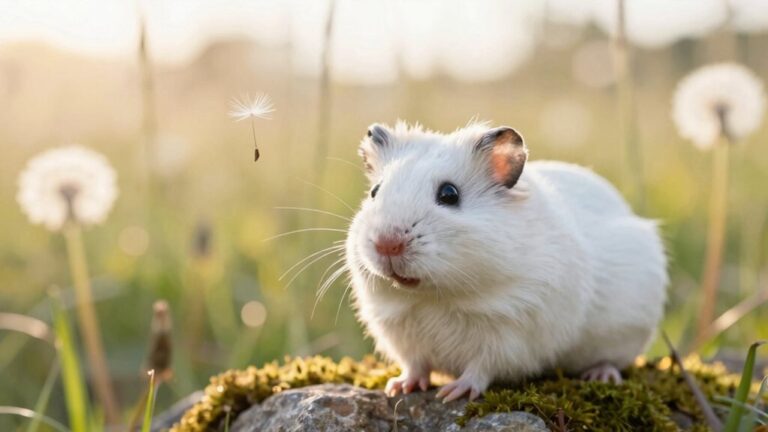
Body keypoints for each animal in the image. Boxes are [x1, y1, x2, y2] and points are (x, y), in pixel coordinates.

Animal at [344, 121, 668, 402]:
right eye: (375, 192)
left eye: (449, 194)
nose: (387, 244)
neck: (435, 295)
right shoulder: (400, 332)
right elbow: (415, 365)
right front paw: (397, 387)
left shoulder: (510, 334)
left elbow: (482, 367)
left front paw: (453, 394)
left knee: (613, 360)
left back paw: (601, 376)